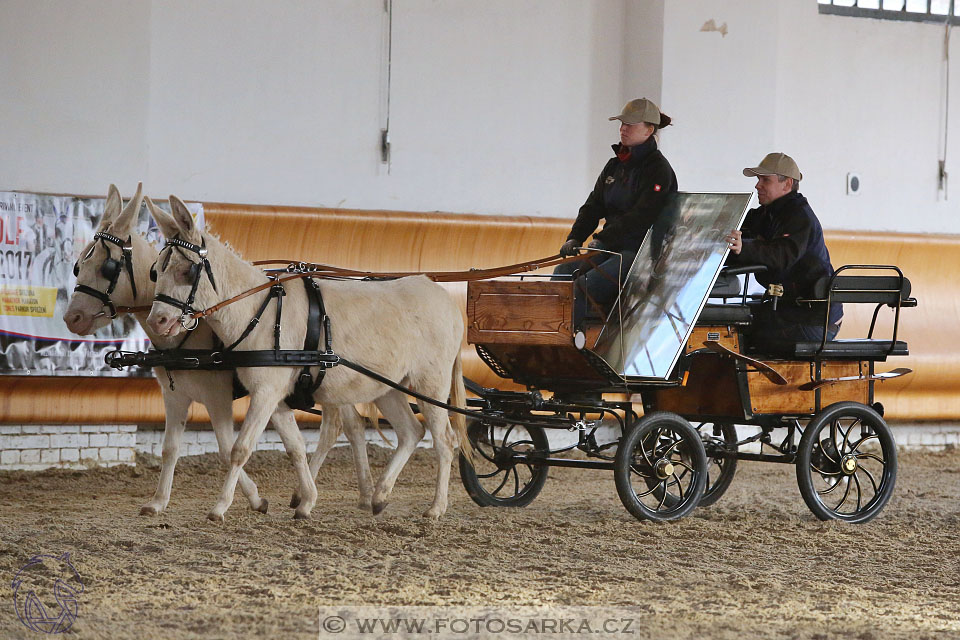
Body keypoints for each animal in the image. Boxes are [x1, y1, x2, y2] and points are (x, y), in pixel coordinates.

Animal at [62, 184, 372, 516]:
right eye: (78, 265)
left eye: (107, 268)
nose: (72, 318)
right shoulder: (174, 396)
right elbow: (170, 448)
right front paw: (158, 502)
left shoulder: (217, 395)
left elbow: (226, 448)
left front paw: (254, 499)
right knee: (350, 425)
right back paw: (355, 494)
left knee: (339, 427)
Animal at [144, 195, 470, 520]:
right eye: (155, 271)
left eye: (186, 271)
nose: (156, 321)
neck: (257, 311)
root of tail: (441, 294)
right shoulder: (276, 397)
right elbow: (295, 447)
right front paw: (306, 501)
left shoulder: (263, 392)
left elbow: (240, 449)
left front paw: (220, 506)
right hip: (385, 386)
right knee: (410, 431)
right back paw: (379, 495)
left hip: (431, 384)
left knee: (444, 440)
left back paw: (436, 507)